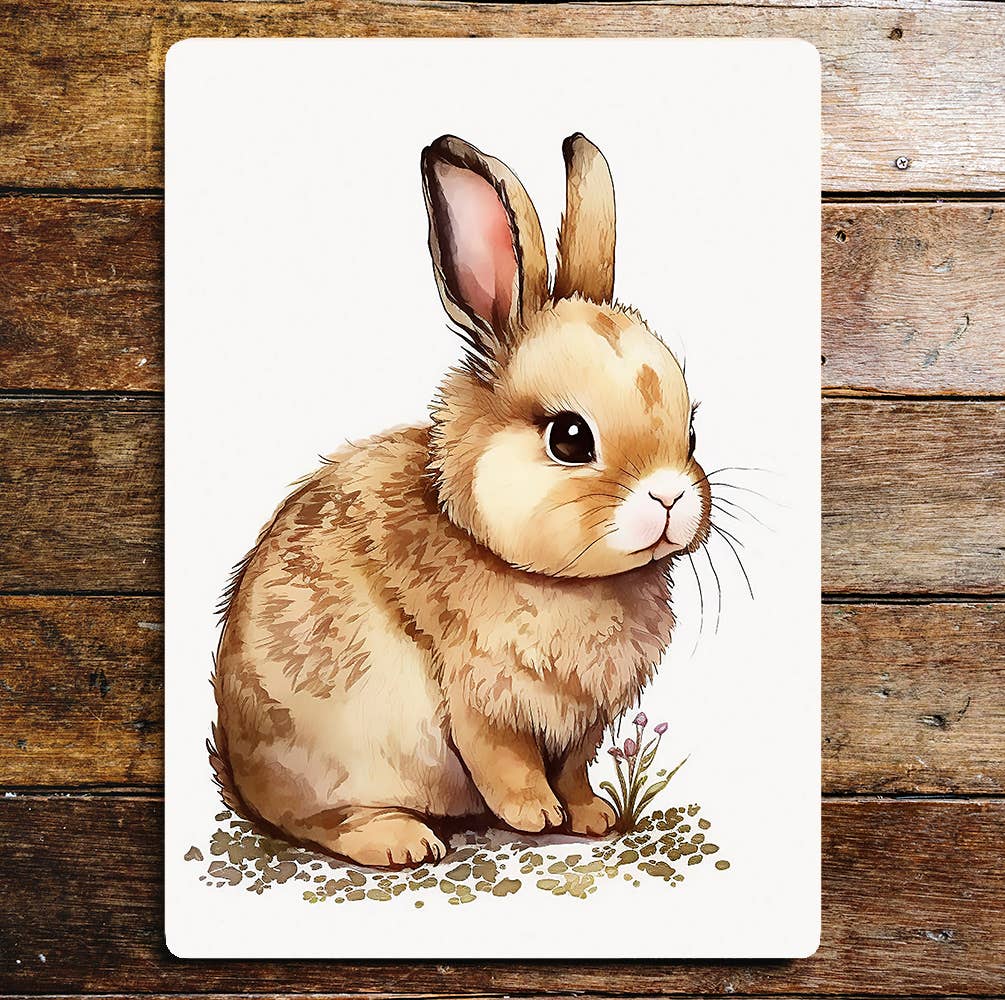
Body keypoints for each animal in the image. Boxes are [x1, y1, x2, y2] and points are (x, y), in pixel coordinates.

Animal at [211, 133, 711, 869]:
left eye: (693, 430)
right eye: (570, 437)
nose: (670, 497)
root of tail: (238, 771)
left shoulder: (582, 723)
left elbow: (573, 768)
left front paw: (590, 816)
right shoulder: (477, 694)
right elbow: (503, 760)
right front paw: (534, 815)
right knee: (323, 822)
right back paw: (402, 843)